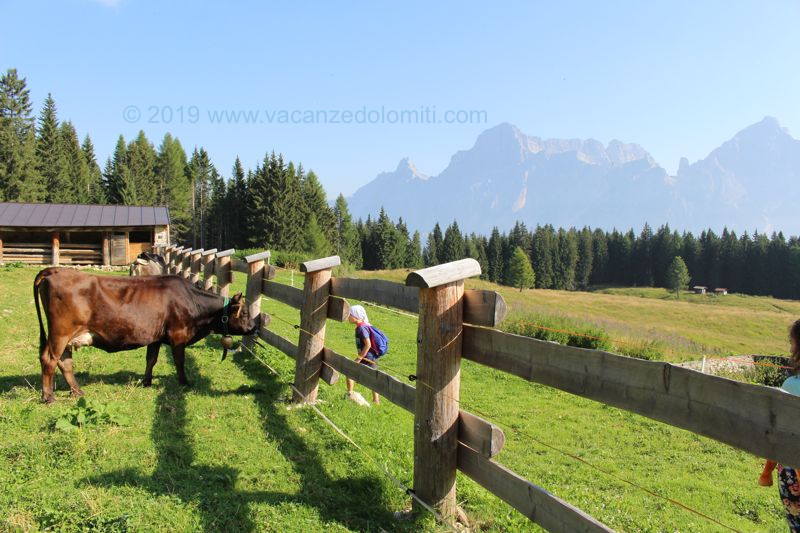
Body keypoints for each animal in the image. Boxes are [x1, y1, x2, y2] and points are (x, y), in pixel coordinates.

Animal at [33, 268, 260, 402]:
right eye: (245, 313)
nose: (255, 327)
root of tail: (55, 270)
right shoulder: (178, 336)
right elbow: (179, 361)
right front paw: (184, 382)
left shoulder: (156, 337)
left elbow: (151, 359)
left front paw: (147, 382)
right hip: (60, 333)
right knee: (49, 360)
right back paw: (48, 397)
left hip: (66, 337)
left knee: (64, 362)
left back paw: (77, 391)